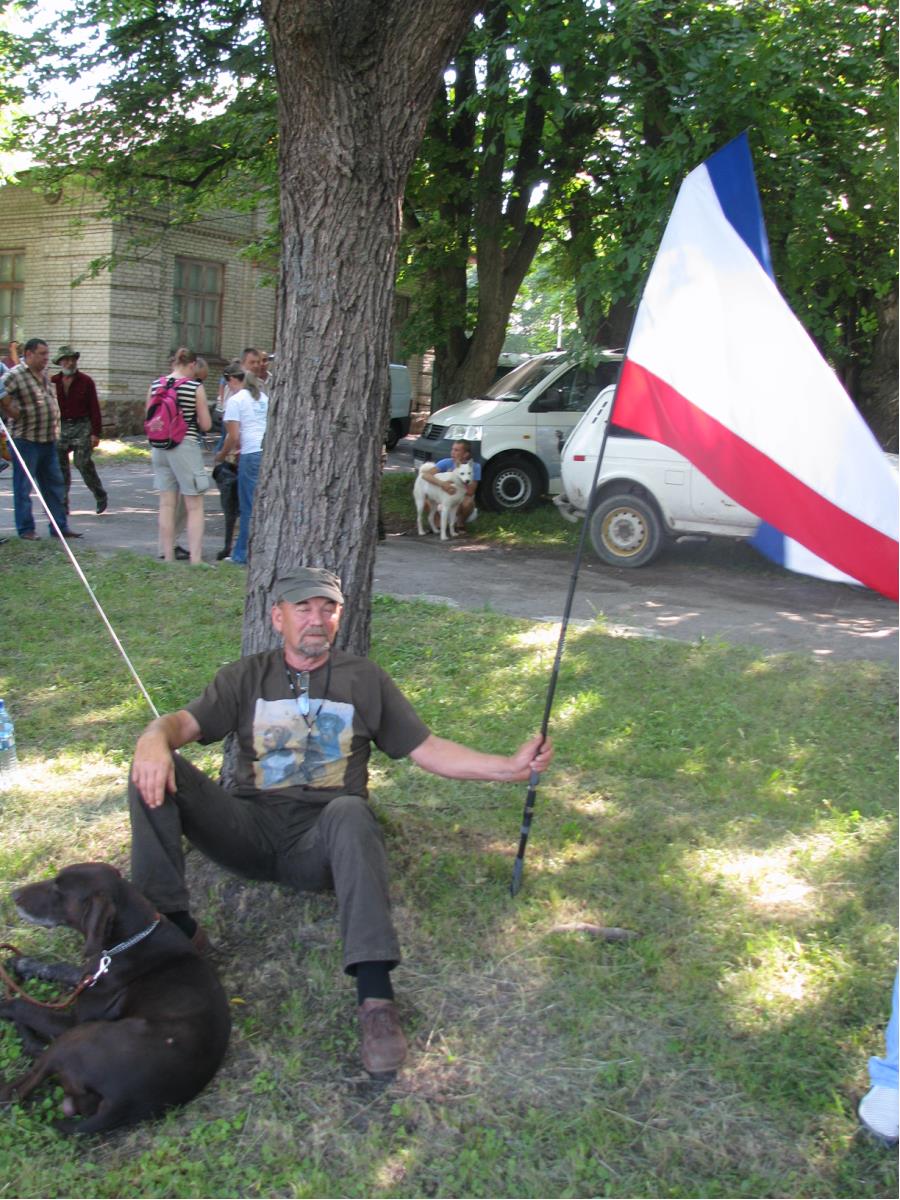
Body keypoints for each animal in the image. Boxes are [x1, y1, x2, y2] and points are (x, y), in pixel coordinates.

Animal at [0, 863, 231, 1134]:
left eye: (59, 890)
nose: (14, 895)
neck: (132, 937)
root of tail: (120, 1104)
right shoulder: (90, 974)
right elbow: (61, 969)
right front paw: (22, 963)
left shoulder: (72, 1021)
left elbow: (21, 1005)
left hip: (74, 1038)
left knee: (14, 1092)